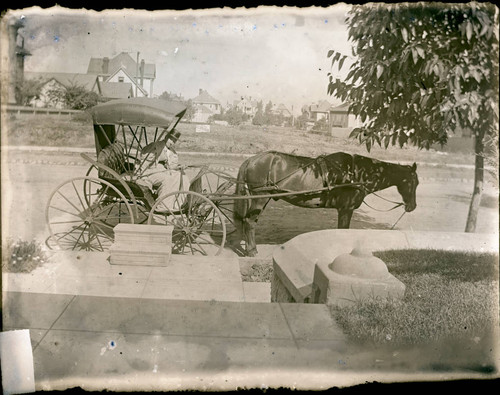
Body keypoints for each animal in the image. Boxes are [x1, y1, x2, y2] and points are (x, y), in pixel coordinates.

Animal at [232, 151, 420, 256]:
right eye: (414, 182)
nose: (412, 206)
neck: (356, 173)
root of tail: (251, 160)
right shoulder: (346, 209)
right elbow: (342, 231)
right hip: (260, 198)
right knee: (249, 223)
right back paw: (251, 250)